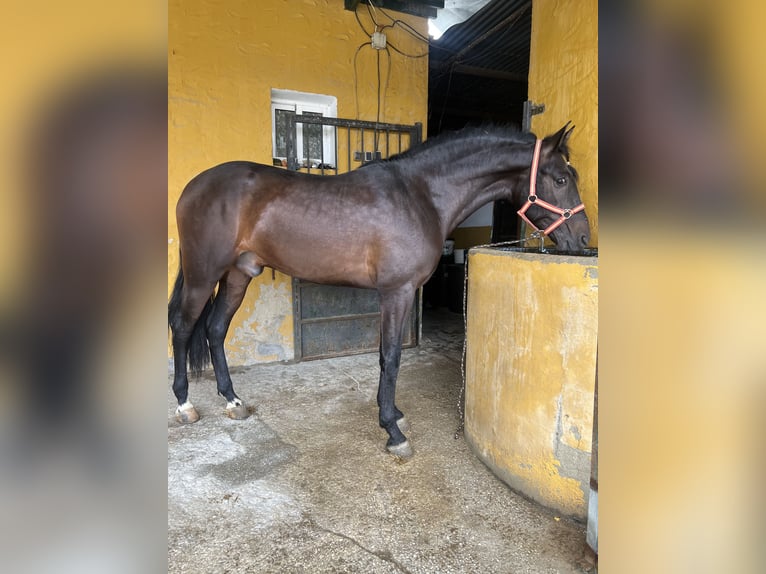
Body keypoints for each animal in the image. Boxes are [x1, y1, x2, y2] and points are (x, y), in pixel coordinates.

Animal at [171, 125, 592, 460]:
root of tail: (193, 186)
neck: (421, 195)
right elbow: (391, 357)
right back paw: (185, 404)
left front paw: (393, 414)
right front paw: (393, 431)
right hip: (203, 274)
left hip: (238, 274)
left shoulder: (401, 294)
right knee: (183, 327)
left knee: (215, 330)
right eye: (560, 179)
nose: (584, 240)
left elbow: (388, 357)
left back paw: (233, 401)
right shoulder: (396, 291)